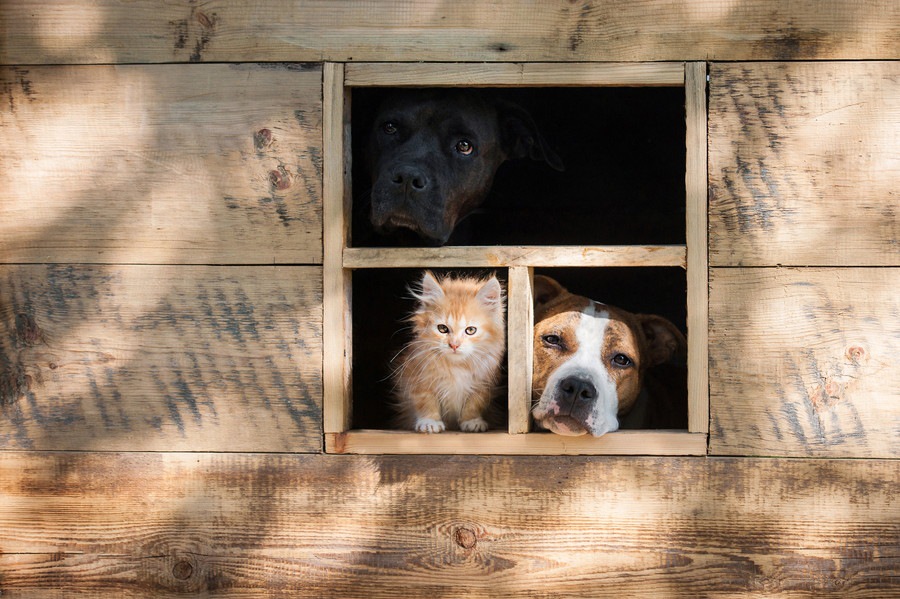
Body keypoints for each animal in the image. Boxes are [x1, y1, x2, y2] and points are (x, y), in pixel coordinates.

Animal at [392, 270, 510, 432]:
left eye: (470, 330)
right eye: (442, 329)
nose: (454, 345)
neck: (457, 366)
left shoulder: (484, 383)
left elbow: (475, 402)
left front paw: (472, 421)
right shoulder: (417, 377)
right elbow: (425, 401)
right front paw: (430, 422)